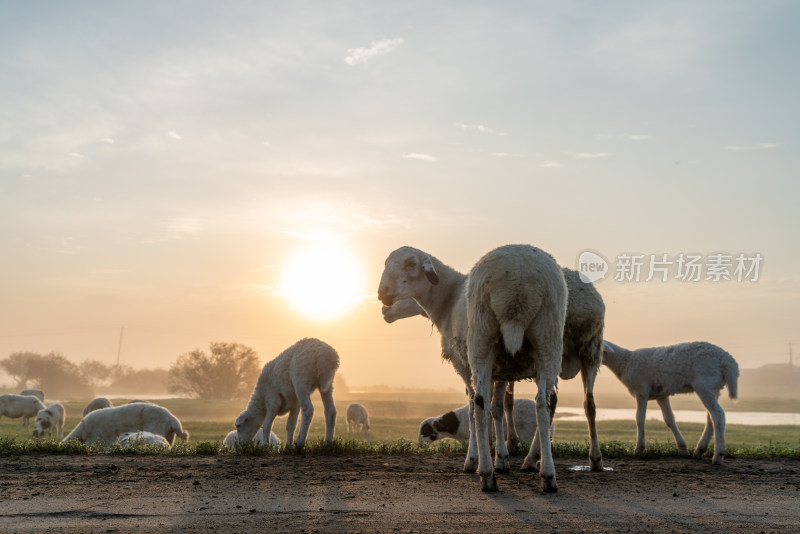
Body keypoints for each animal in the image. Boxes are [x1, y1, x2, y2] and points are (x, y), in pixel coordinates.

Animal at [378, 247, 564, 494]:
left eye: (410, 264)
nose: (382, 297)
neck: (447, 298)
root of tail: (518, 280)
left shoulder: (464, 365)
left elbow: (473, 411)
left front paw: (474, 460)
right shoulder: (503, 369)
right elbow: (497, 409)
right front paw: (502, 459)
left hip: (481, 340)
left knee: (479, 403)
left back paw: (486, 475)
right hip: (548, 339)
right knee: (543, 403)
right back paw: (547, 475)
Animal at [382, 266, 608, 472]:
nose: (385, 311)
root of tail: (585, 302)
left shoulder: (475, 364)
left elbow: (482, 405)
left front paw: (485, 453)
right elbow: (503, 403)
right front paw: (506, 445)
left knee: (553, 402)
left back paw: (533, 457)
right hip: (588, 351)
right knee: (585, 403)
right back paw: (592, 459)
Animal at [604, 344, 740, 464]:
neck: (625, 362)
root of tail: (728, 362)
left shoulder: (641, 391)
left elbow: (639, 419)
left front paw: (639, 449)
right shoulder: (661, 395)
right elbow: (669, 419)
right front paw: (682, 448)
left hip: (705, 383)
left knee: (718, 414)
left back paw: (718, 455)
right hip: (714, 387)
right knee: (710, 417)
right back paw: (699, 450)